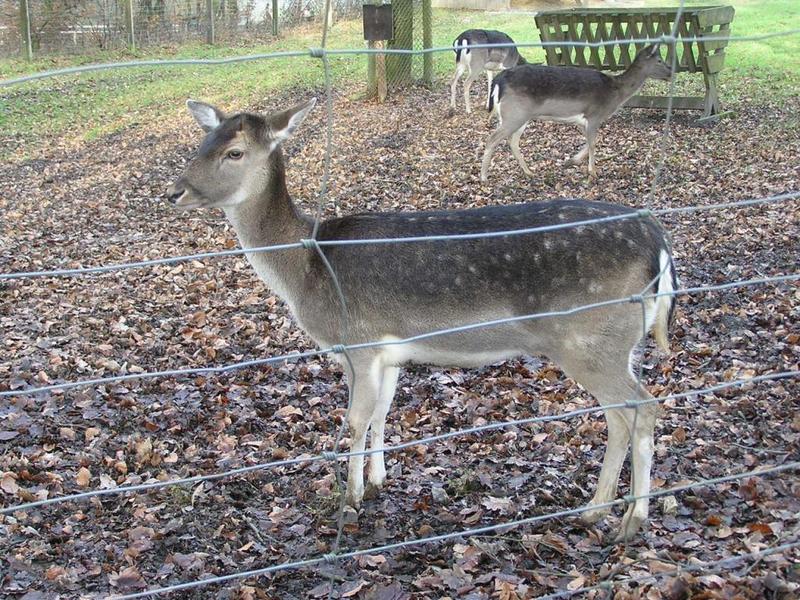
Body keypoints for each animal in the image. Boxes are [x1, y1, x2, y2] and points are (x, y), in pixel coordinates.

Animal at [167, 97, 676, 540]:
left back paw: (632, 520)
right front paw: (378, 479)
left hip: (592, 340)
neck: (307, 270)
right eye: (202, 142)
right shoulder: (390, 352)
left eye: (234, 152)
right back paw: (595, 511)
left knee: (644, 408)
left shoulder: (360, 343)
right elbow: (382, 411)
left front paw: (350, 499)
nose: (175, 191)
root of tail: (660, 248)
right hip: (613, 344)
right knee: (620, 416)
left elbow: (356, 419)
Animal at [482, 44, 676, 180]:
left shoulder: (584, 119)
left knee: (512, 141)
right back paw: (484, 177)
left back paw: (529, 172)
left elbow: (590, 141)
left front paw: (570, 161)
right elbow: (593, 143)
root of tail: (499, 80)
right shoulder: (595, 114)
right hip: (515, 113)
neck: (614, 94)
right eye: (659, 60)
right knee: (492, 139)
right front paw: (593, 172)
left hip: (518, 116)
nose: (671, 72)